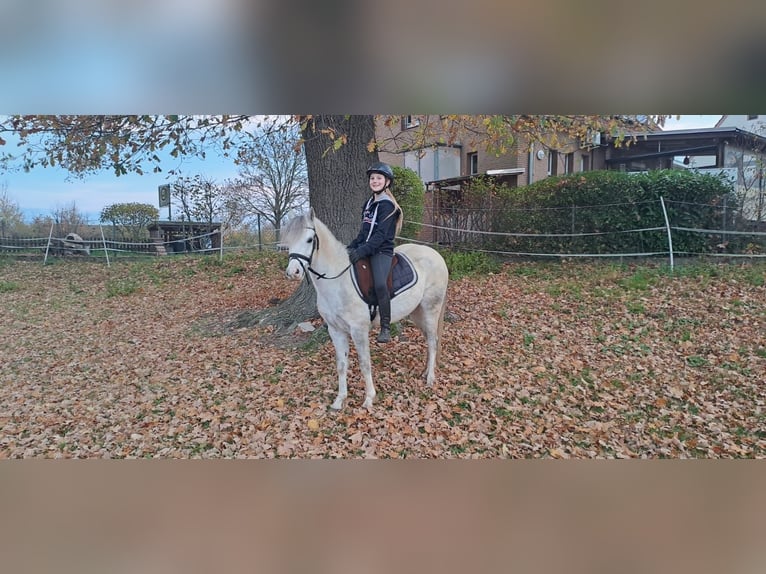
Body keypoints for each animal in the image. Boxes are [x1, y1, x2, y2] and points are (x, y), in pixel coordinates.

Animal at [282, 209, 449, 411]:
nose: (293, 273)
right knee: (428, 339)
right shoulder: (335, 330)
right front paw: (339, 400)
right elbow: (341, 364)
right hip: (417, 313)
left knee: (432, 341)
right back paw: (425, 372)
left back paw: (430, 378)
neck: (338, 279)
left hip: (431, 309)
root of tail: (436, 255)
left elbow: (364, 363)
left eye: (309, 240)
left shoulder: (358, 330)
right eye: (288, 242)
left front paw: (369, 398)